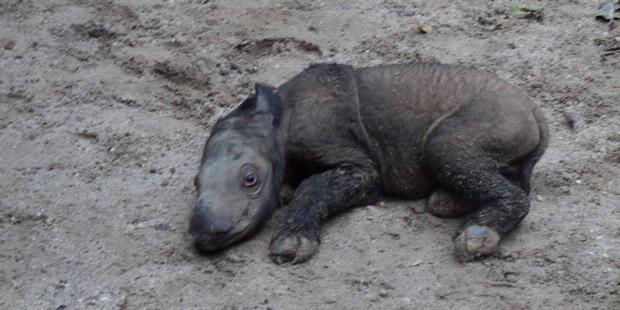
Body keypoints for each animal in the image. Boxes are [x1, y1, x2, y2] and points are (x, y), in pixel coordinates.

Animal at [189, 63, 548, 264]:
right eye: (195, 183)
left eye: (251, 179)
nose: (206, 232)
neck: (278, 119)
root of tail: (535, 112)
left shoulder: (352, 159)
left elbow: (317, 184)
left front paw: (291, 244)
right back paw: (447, 201)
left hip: (488, 120)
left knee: (446, 148)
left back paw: (477, 235)